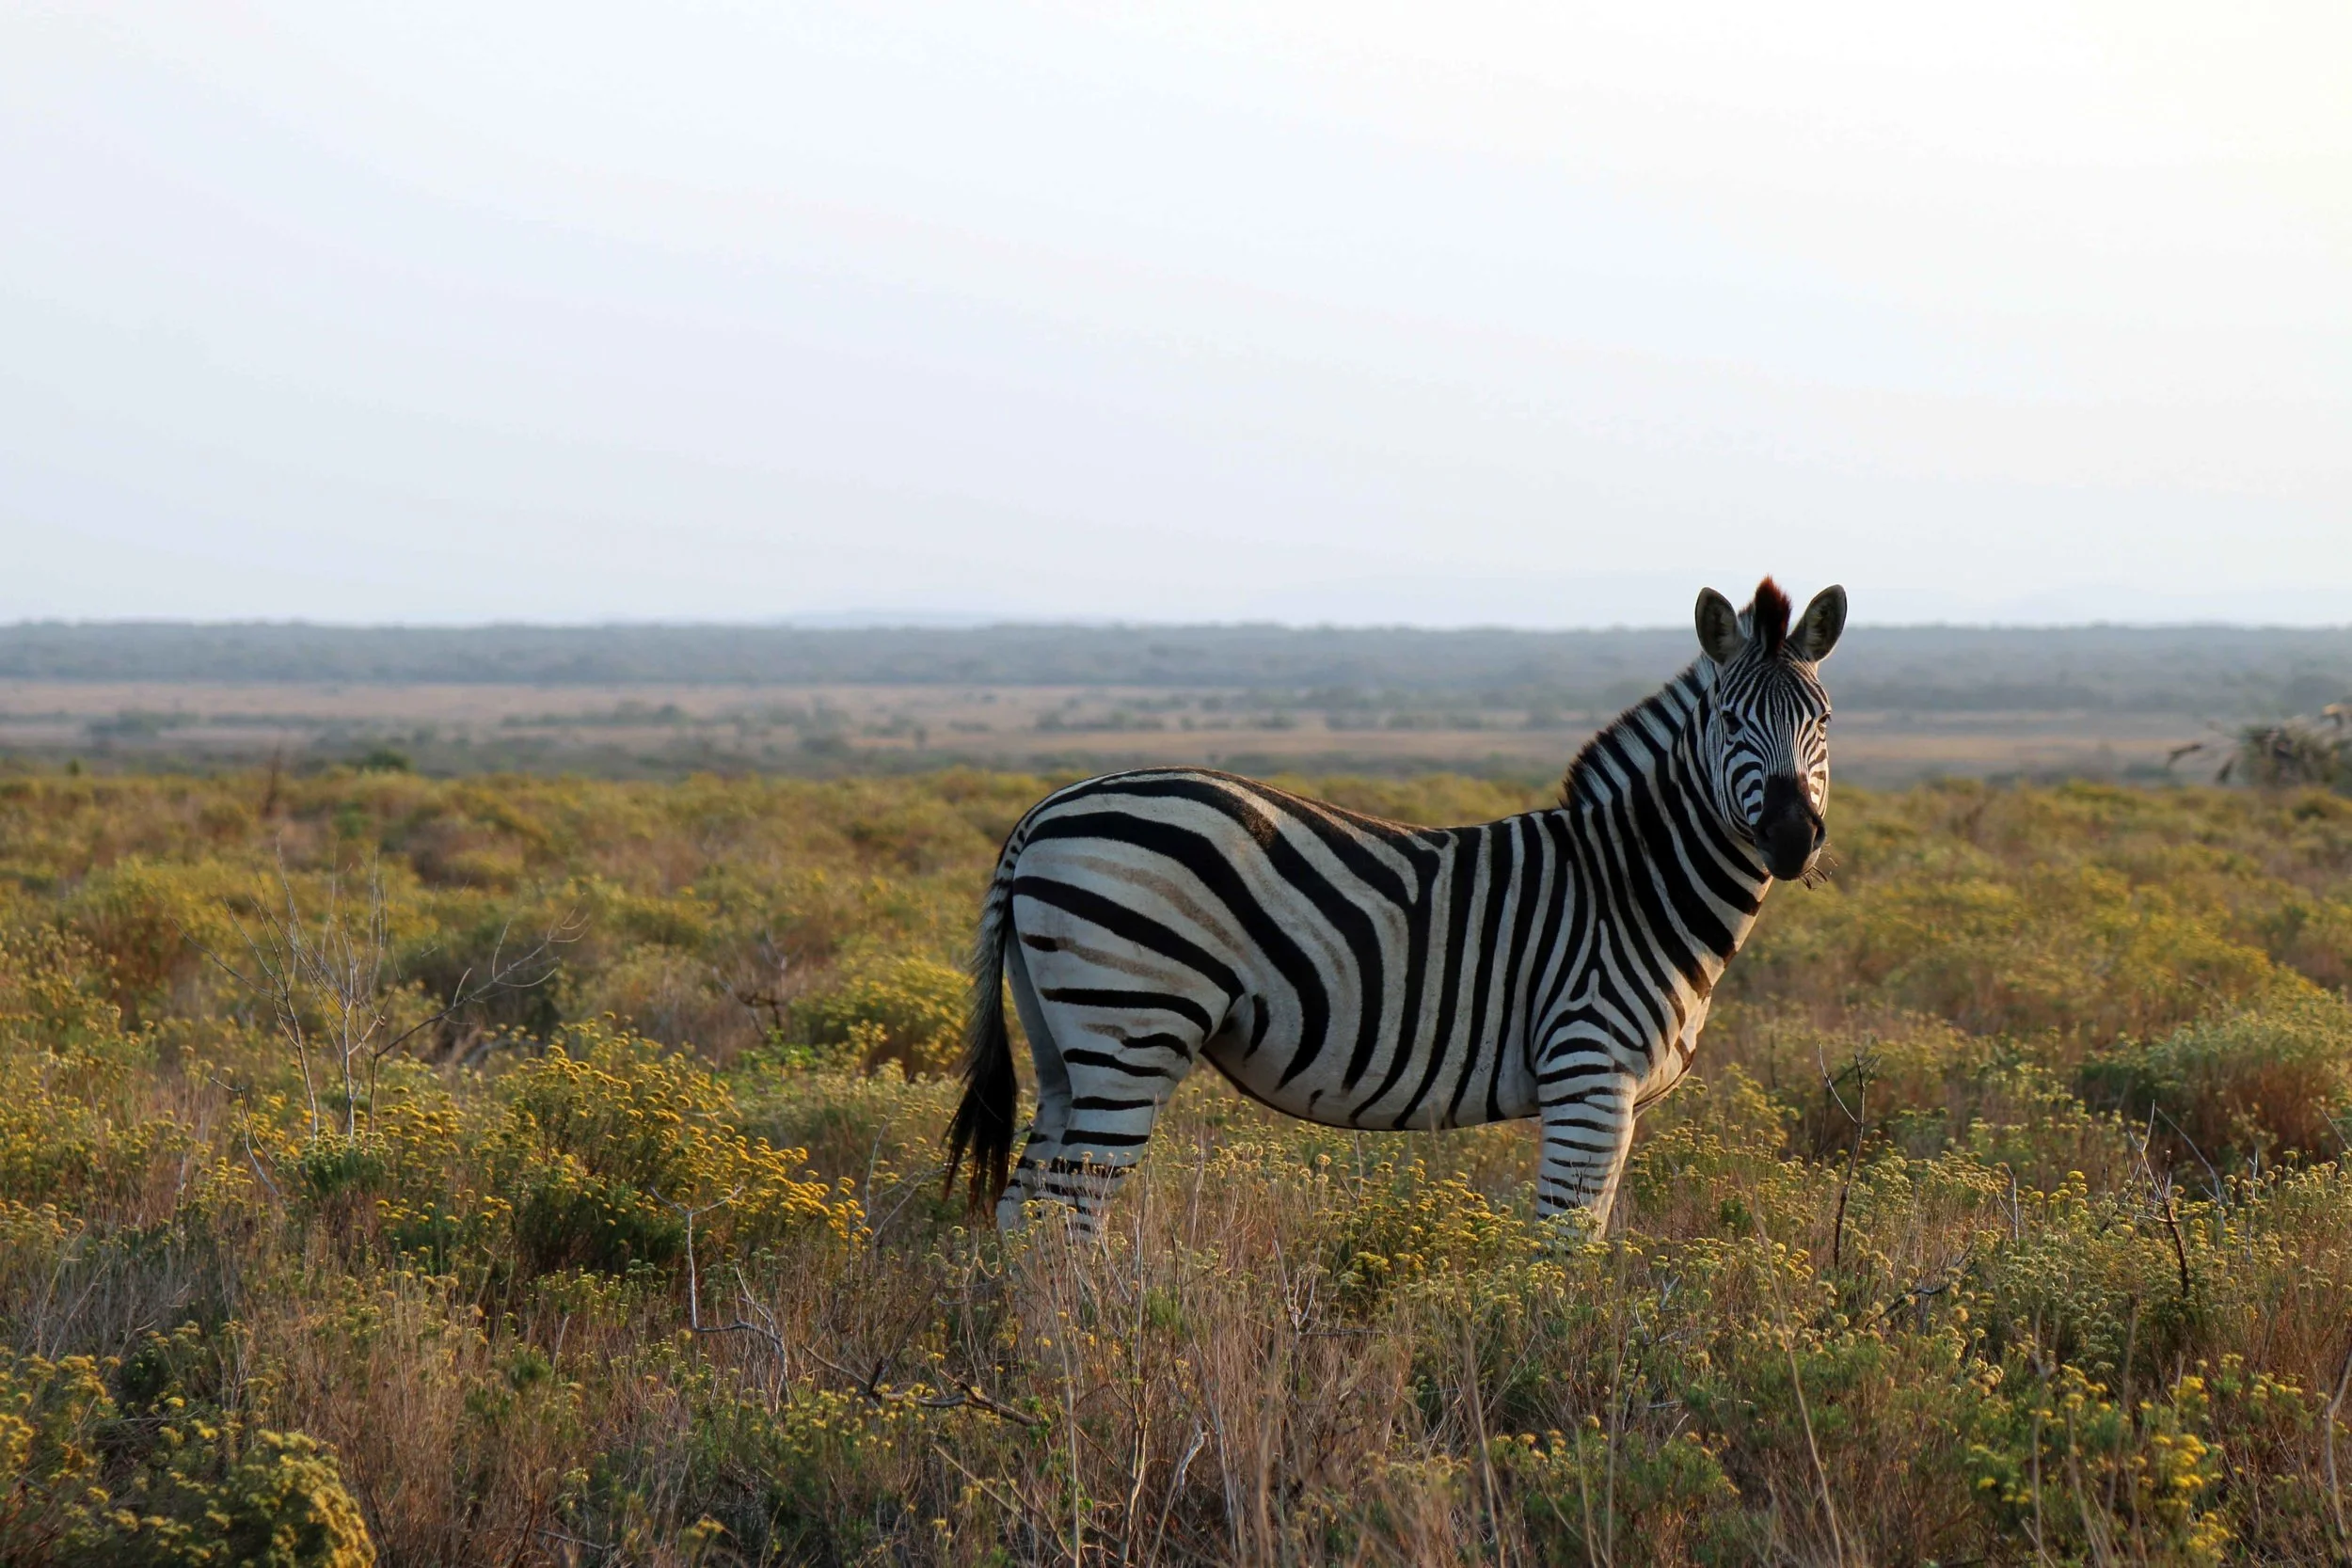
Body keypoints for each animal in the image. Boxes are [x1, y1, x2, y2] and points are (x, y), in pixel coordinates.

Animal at [944, 578, 1845, 1235]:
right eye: (1729, 719)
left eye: (1825, 719)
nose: (1794, 836)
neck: (1635, 885)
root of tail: (1042, 812)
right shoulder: (1589, 1074)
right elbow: (1562, 1251)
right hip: (1131, 1026)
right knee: (1068, 1215)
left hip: (1064, 1039)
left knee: (1022, 1212)